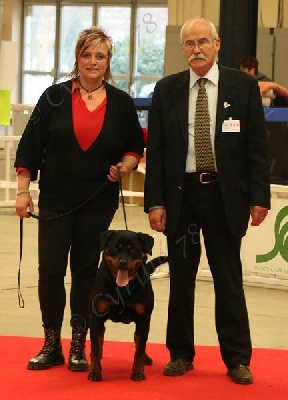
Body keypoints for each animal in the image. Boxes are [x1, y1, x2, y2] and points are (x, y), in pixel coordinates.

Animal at [89, 228, 168, 382]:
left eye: (133, 250)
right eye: (115, 248)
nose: (122, 262)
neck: (122, 288)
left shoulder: (143, 319)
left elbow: (139, 349)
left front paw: (138, 372)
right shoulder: (96, 318)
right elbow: (95, 347)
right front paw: (95, 371)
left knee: (139, 340)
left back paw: (146, 358)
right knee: (100, 338)